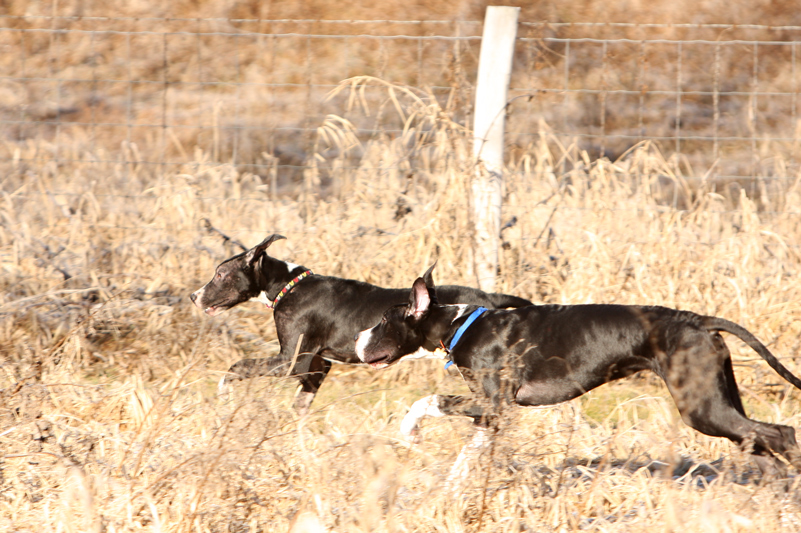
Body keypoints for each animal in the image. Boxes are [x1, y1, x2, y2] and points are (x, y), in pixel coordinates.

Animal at [189, 235, 532, 414]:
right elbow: (300, 405)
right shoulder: (318, 366)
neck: (289, 285)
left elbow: (236, 367)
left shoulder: (290, 362)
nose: (193, 296)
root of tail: (489, 296)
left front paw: (223, 396)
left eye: (220, 274)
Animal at [356, 268, 800, 472]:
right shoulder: (491, 416)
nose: (359, 339)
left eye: (383, 320)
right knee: (759, 439)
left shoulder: (494, 405)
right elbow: (468, 457)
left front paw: (409, 432)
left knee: (781, 433)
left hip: (703, 409)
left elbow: (427, 401)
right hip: (721, 400)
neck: (460, 324)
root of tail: (699, 320)